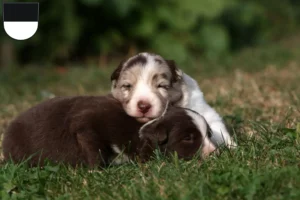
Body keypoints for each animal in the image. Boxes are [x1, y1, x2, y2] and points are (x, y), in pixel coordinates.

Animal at [1, 95, 214, 167]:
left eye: (209, 134)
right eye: (188, 138)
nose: (214, 153)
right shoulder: (87, 124)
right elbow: (93, 146)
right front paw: (95, 169)